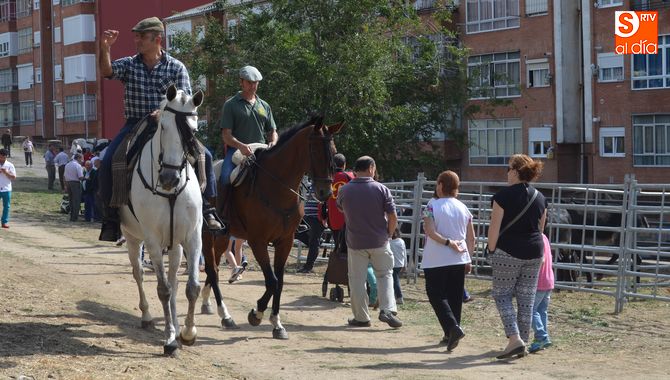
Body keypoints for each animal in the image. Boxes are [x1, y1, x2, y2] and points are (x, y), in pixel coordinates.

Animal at [121, 84, 205, 358]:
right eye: (163, 127)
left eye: (193, 131)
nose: (169, 178)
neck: (170, 192)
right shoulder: (153, 242)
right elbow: (163, 289)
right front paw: (169, 340)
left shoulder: (192, 238)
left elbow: (190, 287)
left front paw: (187, 332)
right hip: (133, 238)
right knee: (138, 273)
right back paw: (147, 317)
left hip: (175, 244)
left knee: (174, 279)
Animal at [202, 115, 344, 338]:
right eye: (315, 151)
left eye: (334, 149)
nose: (325, 192)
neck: (276, 187)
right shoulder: (258, 242)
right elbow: (272, 280)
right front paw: (257, 314)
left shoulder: (285, 242)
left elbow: (280, 282)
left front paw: (277, 324)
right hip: (207, 234)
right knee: (211, 269)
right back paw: (225, 315)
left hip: (224, 236)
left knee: (213, 267)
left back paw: (207, 303)